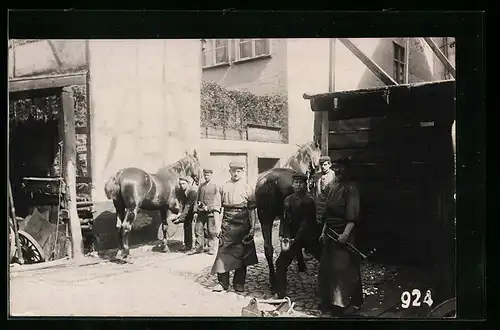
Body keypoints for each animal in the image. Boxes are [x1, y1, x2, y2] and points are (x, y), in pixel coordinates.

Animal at [256, 141, 322, 290]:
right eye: (320, 154)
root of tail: (270, 180)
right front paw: (301, 264)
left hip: (265, 219)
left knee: (268, 248)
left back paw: (273, 280)